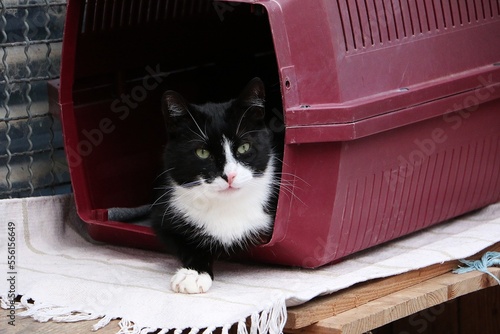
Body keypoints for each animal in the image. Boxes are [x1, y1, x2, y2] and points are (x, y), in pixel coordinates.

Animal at [151, 77, 278, 294]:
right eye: (202, 152)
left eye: (244, 147)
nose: (230, 175)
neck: (226, 205)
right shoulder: (163, 215)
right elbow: (186, 243)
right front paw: (193, 273)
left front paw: (192, 275)